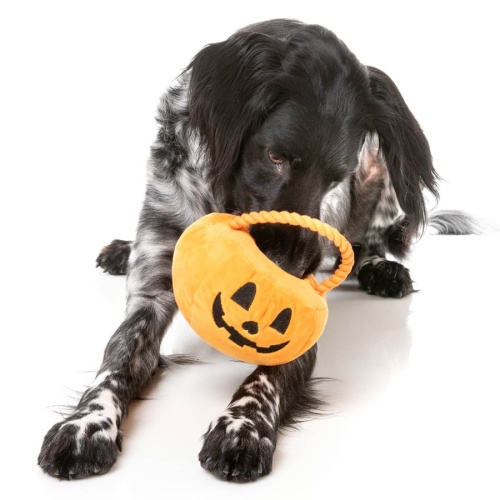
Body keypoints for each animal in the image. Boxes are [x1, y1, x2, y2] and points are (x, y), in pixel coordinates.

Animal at [37, 18, 466, 480]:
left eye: (335, 177)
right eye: (275, 157)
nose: (290, 268)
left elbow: (268, 377)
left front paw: (242, 426)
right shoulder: (149, 292)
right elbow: (115, 360)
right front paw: (86, 425)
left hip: (378, 174)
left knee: (365, 243)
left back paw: (381, 270)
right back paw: (121, 250)